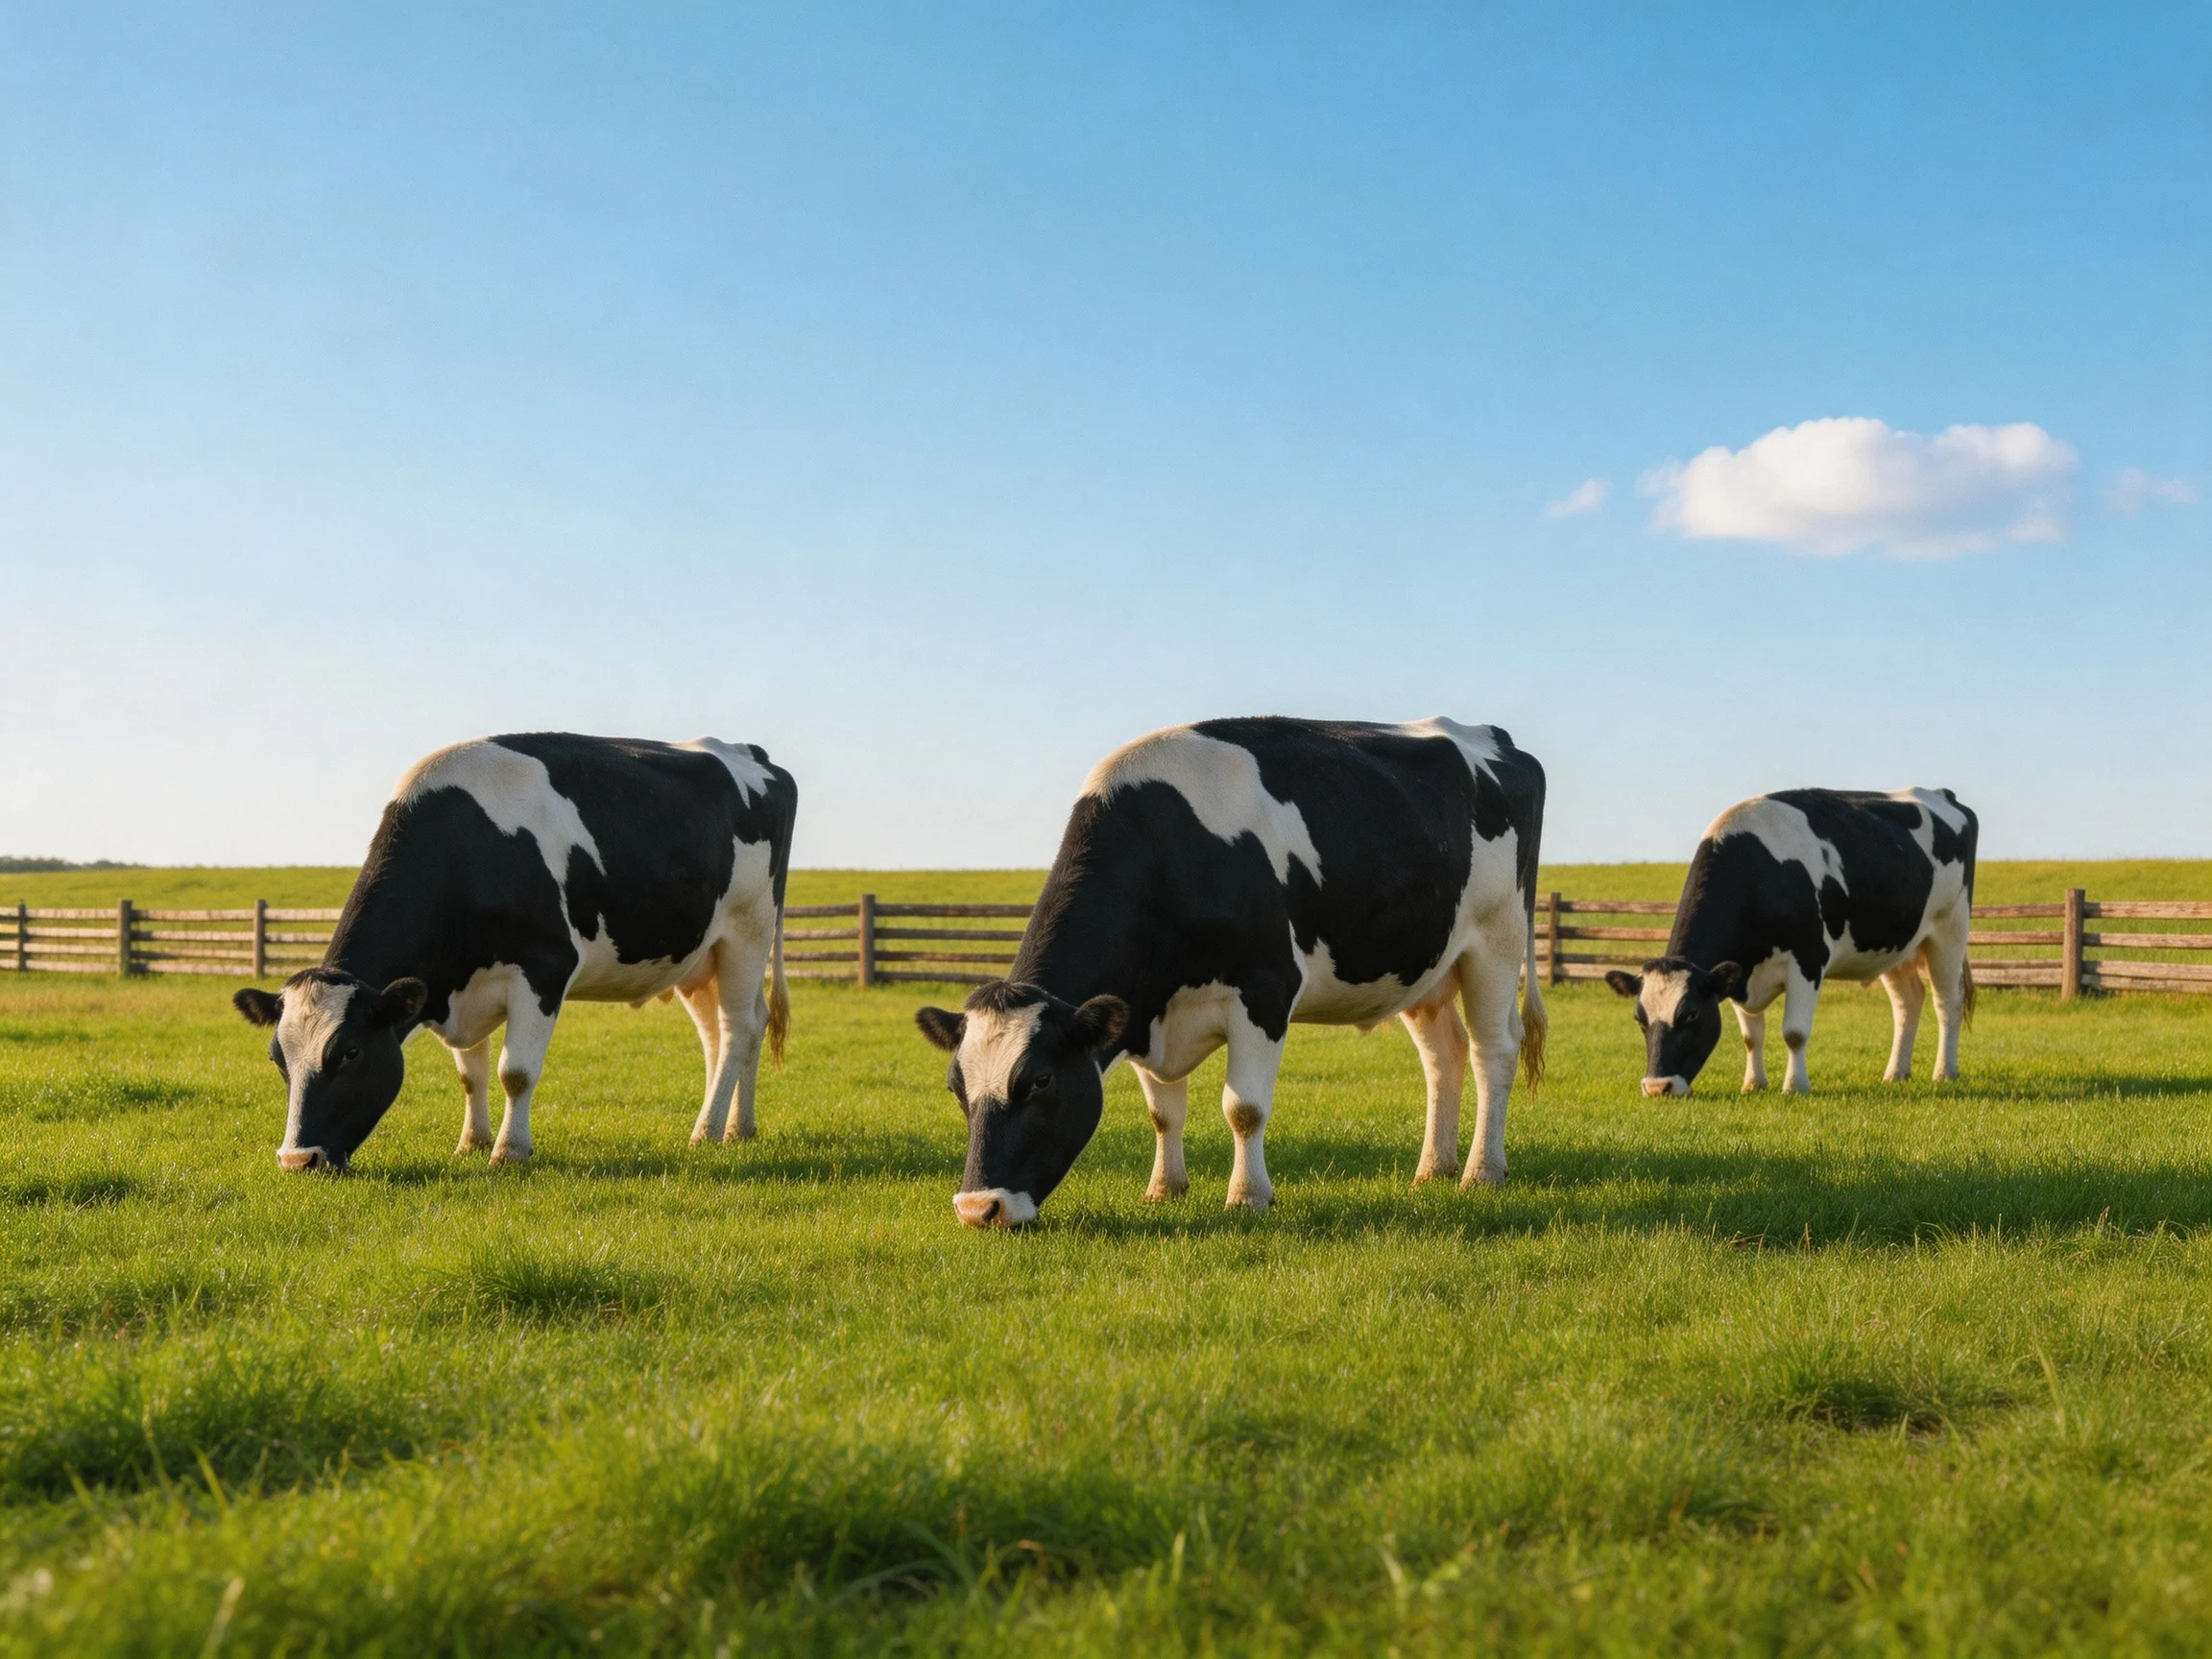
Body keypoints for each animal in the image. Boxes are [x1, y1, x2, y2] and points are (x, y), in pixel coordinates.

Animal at [233, 733, 796, 1172]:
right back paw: (736, 1126)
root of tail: (749, 752)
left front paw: (509, 1151)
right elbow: (471, 1075)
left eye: (350, 1051)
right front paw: (471, 1142)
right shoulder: (453, 984)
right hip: (698, 957)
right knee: (723, 1032)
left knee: (737, 1028)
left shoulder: (544, 968)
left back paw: (707, 1131)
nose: (297, 1160)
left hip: (748, 930)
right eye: (277, 1057)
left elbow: (515, 1072)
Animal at [913, 717, 1547, 1227]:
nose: (978, 1209)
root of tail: (1495, 737)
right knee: (1444, 1055)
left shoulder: (1264, 991)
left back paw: (1481, 1172)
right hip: (1426, 966)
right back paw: (1432, 1169)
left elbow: (1243, 1109)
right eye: (955, 1087)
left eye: (1040, 1080)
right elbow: (1163, 1112)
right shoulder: (1142, 1009)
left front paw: (1248, 1197)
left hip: (1496, 940)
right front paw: (1164, 1189)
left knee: (1493, 1050)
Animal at [1605, 788, 1977, 1097]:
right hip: (1895, 946)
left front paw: (1795, 1086)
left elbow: (1794, 1032)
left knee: (1947, 1001)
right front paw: (1753, 1084)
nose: (1658, 1087)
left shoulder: (1808, 960)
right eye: (1639, 1019)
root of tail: (1941, 793)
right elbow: (1751, 1036)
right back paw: (1896, 1073)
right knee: (1907, 1002)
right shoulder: (1739, 972)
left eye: (1691, 1014)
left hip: (1950, 929)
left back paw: (1945, 1072)